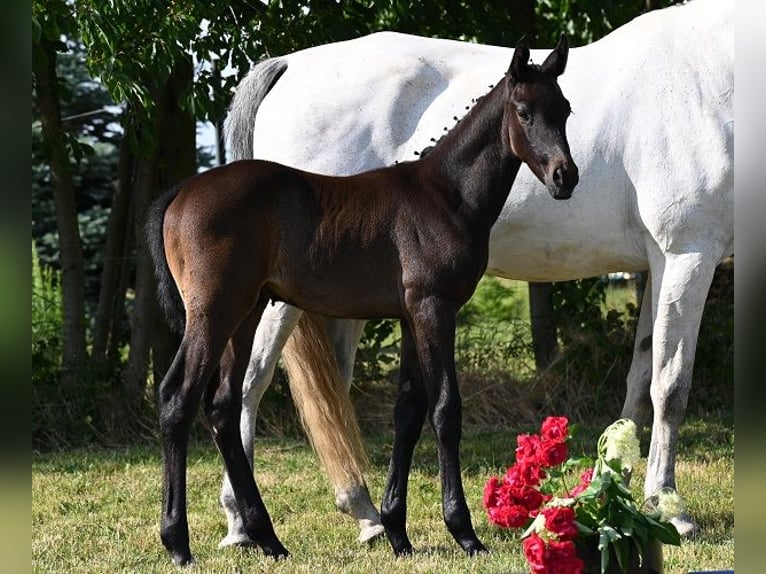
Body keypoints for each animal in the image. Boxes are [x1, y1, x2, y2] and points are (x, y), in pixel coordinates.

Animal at [147, 36, 576, 568]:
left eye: (565, 109)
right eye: (523, 112)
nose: (565, 177)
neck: (446, 195)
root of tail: (180, 192)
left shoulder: (412, 316)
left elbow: (408, 412)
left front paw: (397, 532)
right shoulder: (435, 309)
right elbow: (445, 410)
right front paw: (464, 532)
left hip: (246, 313)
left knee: (223, 406)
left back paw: (268, 539)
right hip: (213, 313)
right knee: (177, 398)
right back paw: (179, 543)